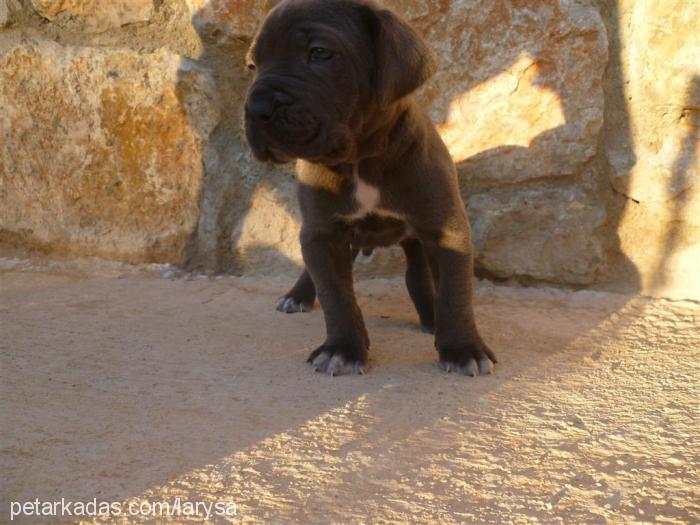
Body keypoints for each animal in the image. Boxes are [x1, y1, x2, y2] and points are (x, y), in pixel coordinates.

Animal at [243, 0, 494, 376]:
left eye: (319, 53)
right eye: (253, 66)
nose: (256, 108)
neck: (361, 159)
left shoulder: (446, 230)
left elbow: (455, 292)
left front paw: (463, 349)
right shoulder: (322, 234)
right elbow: (336, 295)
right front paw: (342, 349)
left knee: (417, 275)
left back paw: (430, 316)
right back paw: (298, 295)